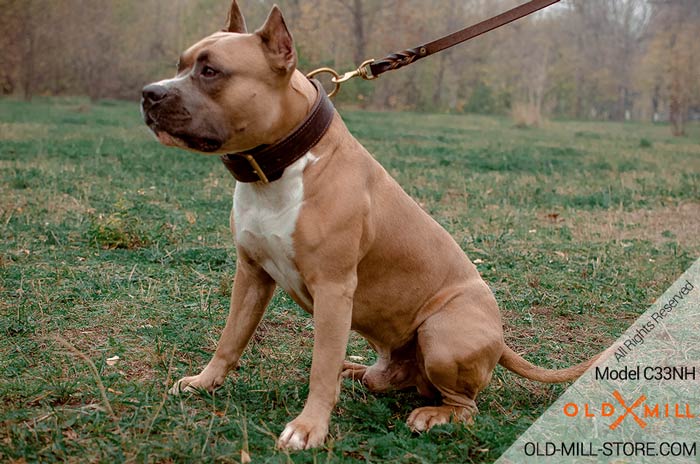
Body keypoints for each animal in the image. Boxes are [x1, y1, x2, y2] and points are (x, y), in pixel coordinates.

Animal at [142, 0, 600, 450]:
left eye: (211, 71)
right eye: (182, 64)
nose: (149, 93)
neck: (281, 168)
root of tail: (501, 339)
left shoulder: (333, 289)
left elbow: (319, 366)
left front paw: (309, 427)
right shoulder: (251, 274)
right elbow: (230, 339)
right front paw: (203, 382)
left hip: (441, 334)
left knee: (465, 405)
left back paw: (432, 415)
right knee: (389, 380)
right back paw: (357, 371)